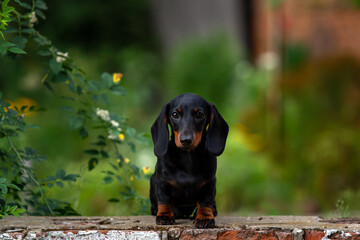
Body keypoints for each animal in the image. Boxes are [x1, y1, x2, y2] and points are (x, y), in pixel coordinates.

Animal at [149, 92, 228, 229]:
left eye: (199, 115)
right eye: (175, 114)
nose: (186, 140)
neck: (188, 158)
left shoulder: (209, 184)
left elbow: (205, 202)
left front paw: (204, 217)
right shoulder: (162, 182)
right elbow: (164, 200)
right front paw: (164, 216)